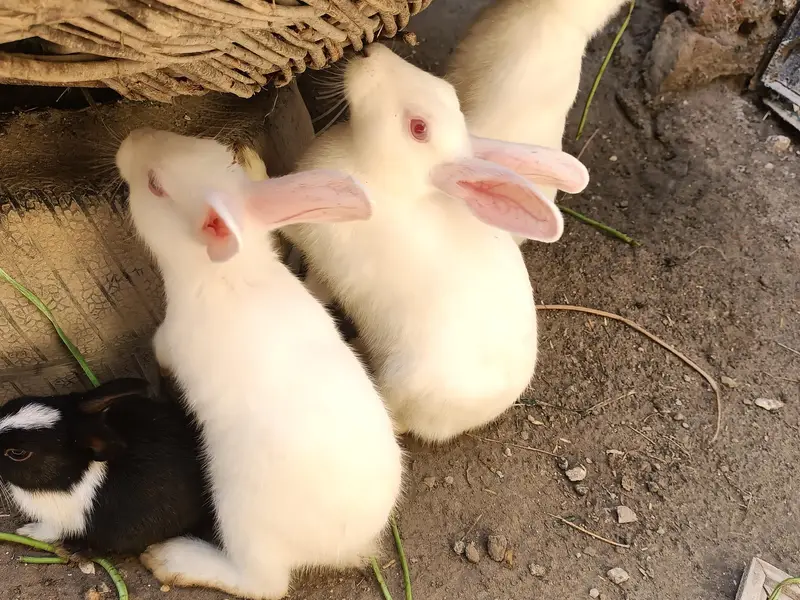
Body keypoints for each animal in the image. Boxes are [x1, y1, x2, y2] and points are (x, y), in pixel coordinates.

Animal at [0, 378, 212, 555]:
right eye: (12, 403)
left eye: (18, 453)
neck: (74, 475)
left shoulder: (60, 520)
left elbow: (50, 531)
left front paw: (27, 532)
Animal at [117, 128, 403, 600]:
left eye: (155, 184)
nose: (130, 139)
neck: (230, 274)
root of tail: (345, 546)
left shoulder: (170, 338)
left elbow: (159, 352)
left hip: (238, 516)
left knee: (263, 584)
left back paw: (171, 560)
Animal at [282, 44, 589, 444]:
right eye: (447, 91)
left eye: (418, 128)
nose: (371, 52)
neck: (383, 178)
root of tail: (486, 411)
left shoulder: (319, 246)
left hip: (402, 385)